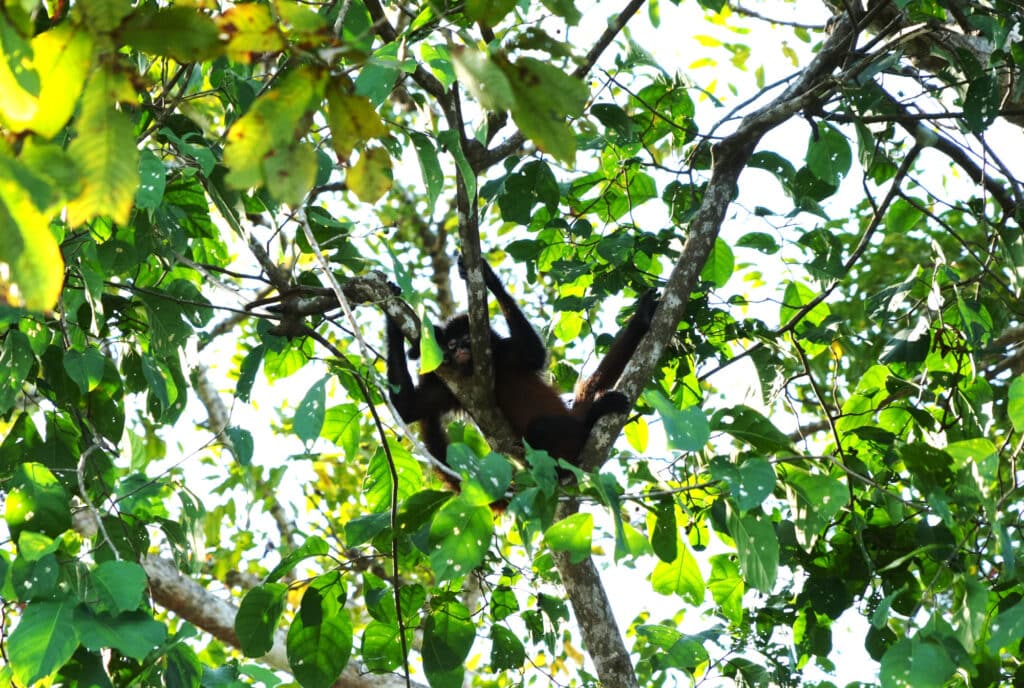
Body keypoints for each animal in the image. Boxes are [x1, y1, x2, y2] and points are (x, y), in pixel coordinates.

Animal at [385, 258, 657, 480]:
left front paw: (488, 277)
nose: (460, 350)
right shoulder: (452, 387)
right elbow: (407, 409)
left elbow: (535, 353)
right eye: (452, 345)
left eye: (466, 340)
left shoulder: (507, 353)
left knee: (543, 427)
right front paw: (392, 316)